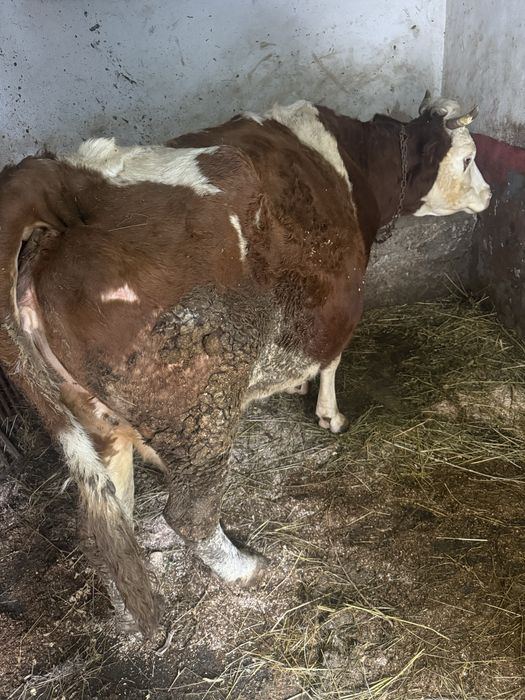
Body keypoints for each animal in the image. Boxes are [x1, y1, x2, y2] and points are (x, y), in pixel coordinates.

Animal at [0, 92, 491, 636]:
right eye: (467, 159)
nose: (490, 195)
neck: (353, 164)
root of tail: (65, 182)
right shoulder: (343, 293)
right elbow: (332, 358)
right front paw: (329, 413)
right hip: (200, 400)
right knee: (188, 514)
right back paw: (243, 567)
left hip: (92, 418)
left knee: (109, 520)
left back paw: (126, 605)